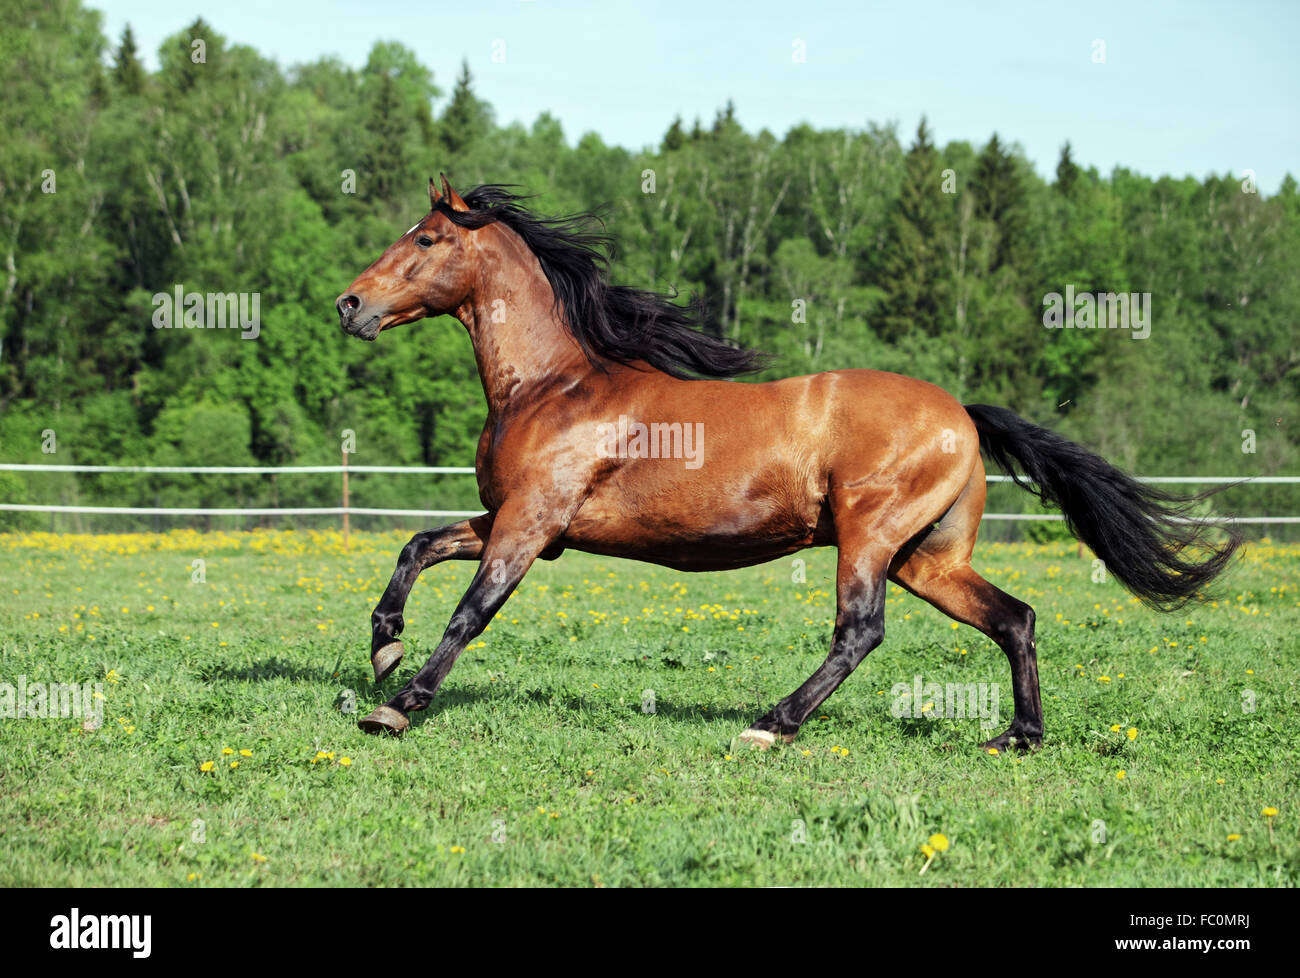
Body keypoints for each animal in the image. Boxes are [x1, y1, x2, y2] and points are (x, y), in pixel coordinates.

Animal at [335, 174, 1237, 749]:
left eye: (426, 237)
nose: (349, 303)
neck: (555, 386)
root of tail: (960, 415)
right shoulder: (518, 521)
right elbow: (417, 547)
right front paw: (383, 648)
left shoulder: (530, 524)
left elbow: (472, 610)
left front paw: (398, 706)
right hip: (928, 558)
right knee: (1014, 618)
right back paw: (1017, 737)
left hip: (871, 538)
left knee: (860, 631)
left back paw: (771, 725)